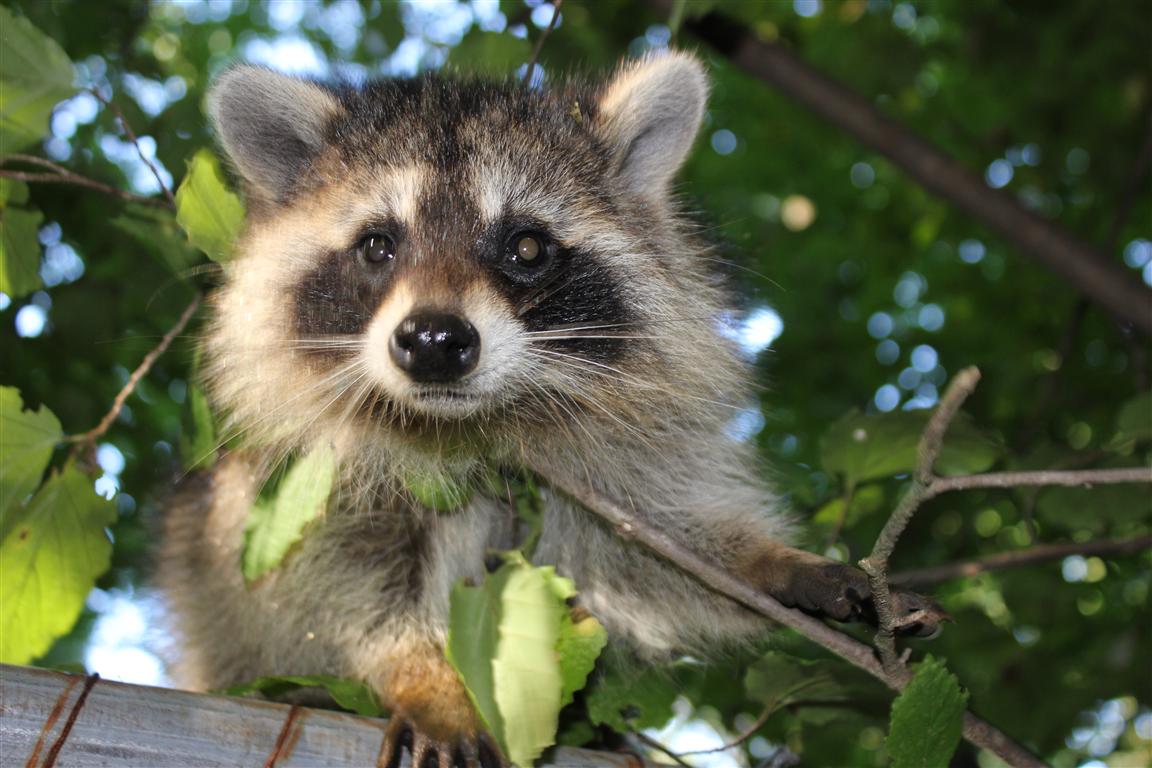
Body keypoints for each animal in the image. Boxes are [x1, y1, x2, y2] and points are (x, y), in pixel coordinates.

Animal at [159, 52, 935, 766]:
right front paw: (422, 675)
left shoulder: (603, 467)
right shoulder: (297, 485)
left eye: (526, 246)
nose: (434, 342)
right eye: (378, 245)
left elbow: (652, 557)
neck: (474, 425)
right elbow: (331, 584)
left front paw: (772, 563)